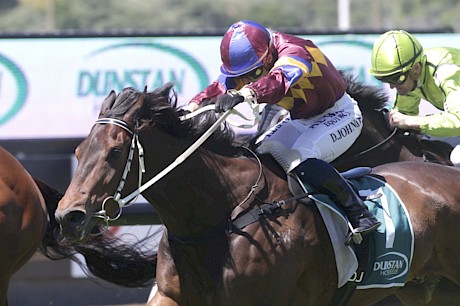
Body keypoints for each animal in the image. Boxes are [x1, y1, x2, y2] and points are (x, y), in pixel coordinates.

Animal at [54, 82, 460, 304]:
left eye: (115, 152)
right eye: (79, 151)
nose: (68, 216)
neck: (223, 214)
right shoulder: (172, 296)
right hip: (429, 290)